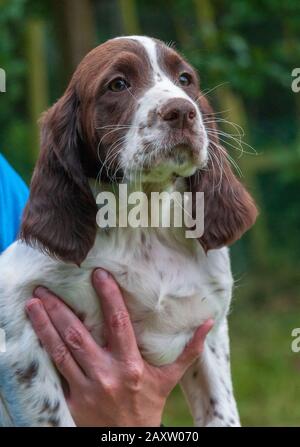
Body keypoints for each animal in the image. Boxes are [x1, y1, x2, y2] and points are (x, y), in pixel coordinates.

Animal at [0, 35, 258, 428]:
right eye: (118, 84)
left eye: (185, 79)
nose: (182, 111)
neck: (144, 223)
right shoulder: (18, 331)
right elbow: (53, 414)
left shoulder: (209, 329)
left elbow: (222, 411)